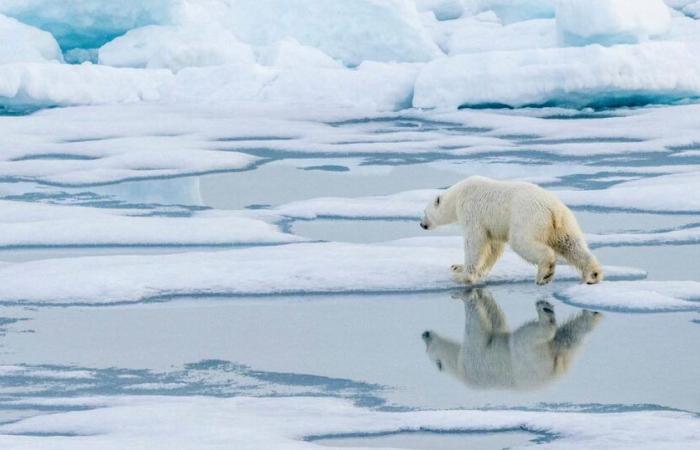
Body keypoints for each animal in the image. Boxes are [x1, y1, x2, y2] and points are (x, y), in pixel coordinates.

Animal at [418, 176, 604, 284]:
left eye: (424, 212)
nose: (422, 224)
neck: (457, 195)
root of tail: (553, 210)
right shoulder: (493, 224)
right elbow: (493, 247)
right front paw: (459, 267)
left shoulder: (472, 212)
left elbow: (475, 242)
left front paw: (463, 275)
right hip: (564, 224)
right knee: (572, 245)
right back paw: (593, 274)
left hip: (527, 219)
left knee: (523, 243)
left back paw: (545, 274)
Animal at [422, 288, 600, 390]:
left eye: (427, 350)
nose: (424, 335)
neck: (458, 367)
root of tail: (556, 367)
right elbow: (494, 322)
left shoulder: (471, 361)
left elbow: (479, 328)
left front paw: (463, 294)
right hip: (553, 355)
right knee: (569, 335)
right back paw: (588, 315)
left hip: (527, 356)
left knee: (536, 332)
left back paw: (544, 309)